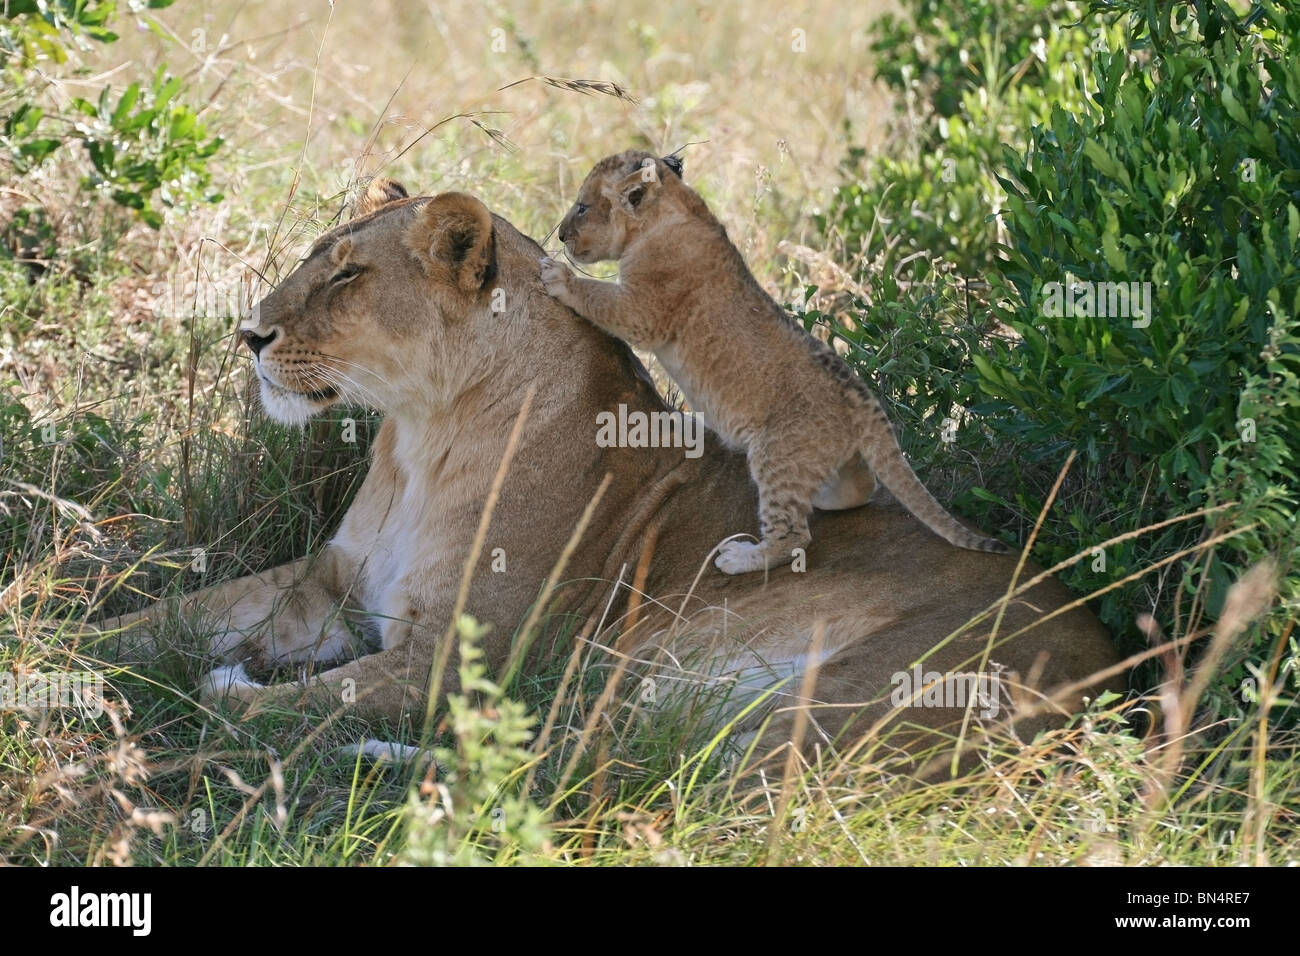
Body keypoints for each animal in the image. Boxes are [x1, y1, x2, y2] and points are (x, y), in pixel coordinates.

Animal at [95, 178, 1121, 772]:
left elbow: (300, 704)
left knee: (608, 773)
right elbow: (170, 615)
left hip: (724, 685)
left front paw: (224, 691)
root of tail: (1120, 685)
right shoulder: (327, 584)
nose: (249, 334)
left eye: (348, 276)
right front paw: (75, 649)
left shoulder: (460, 662)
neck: (421, 438)